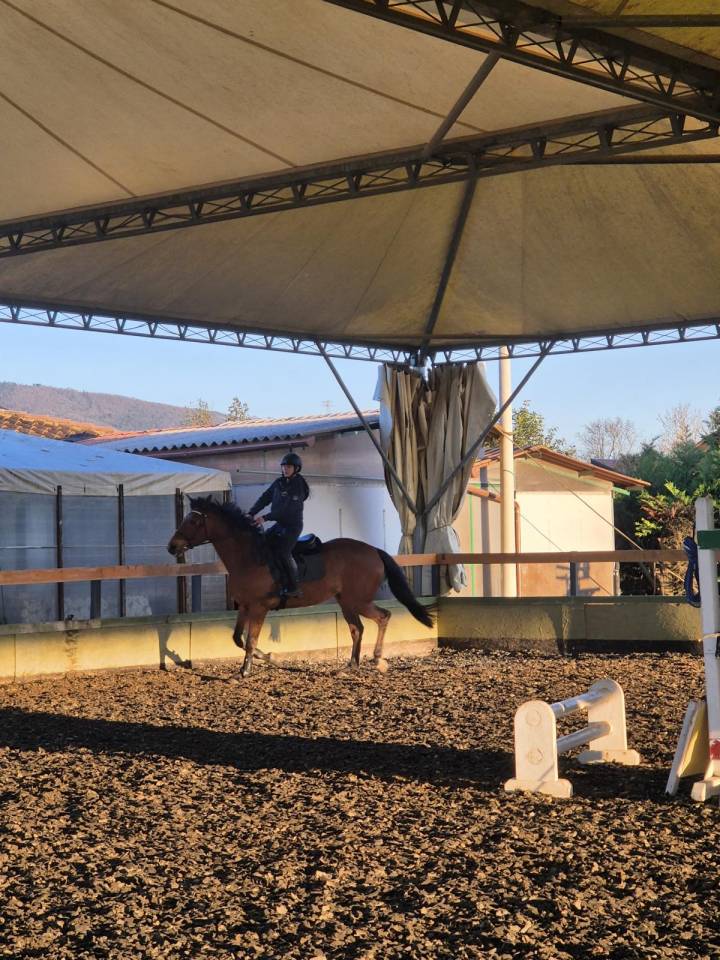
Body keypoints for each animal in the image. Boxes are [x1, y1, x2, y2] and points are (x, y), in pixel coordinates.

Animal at [167, 497, 434, 677]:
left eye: (193, 520)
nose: (172, 546)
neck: (249, 557)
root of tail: (373, 551)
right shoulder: (244, 606)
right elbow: (237, 638)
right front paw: (270, 658)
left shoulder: (259, 608)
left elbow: (250, 640)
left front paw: (245, 671)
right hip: (346, 601)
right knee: (357, 629)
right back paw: (350, 666)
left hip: (358, 601)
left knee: (382, 617)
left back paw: (378, 660)